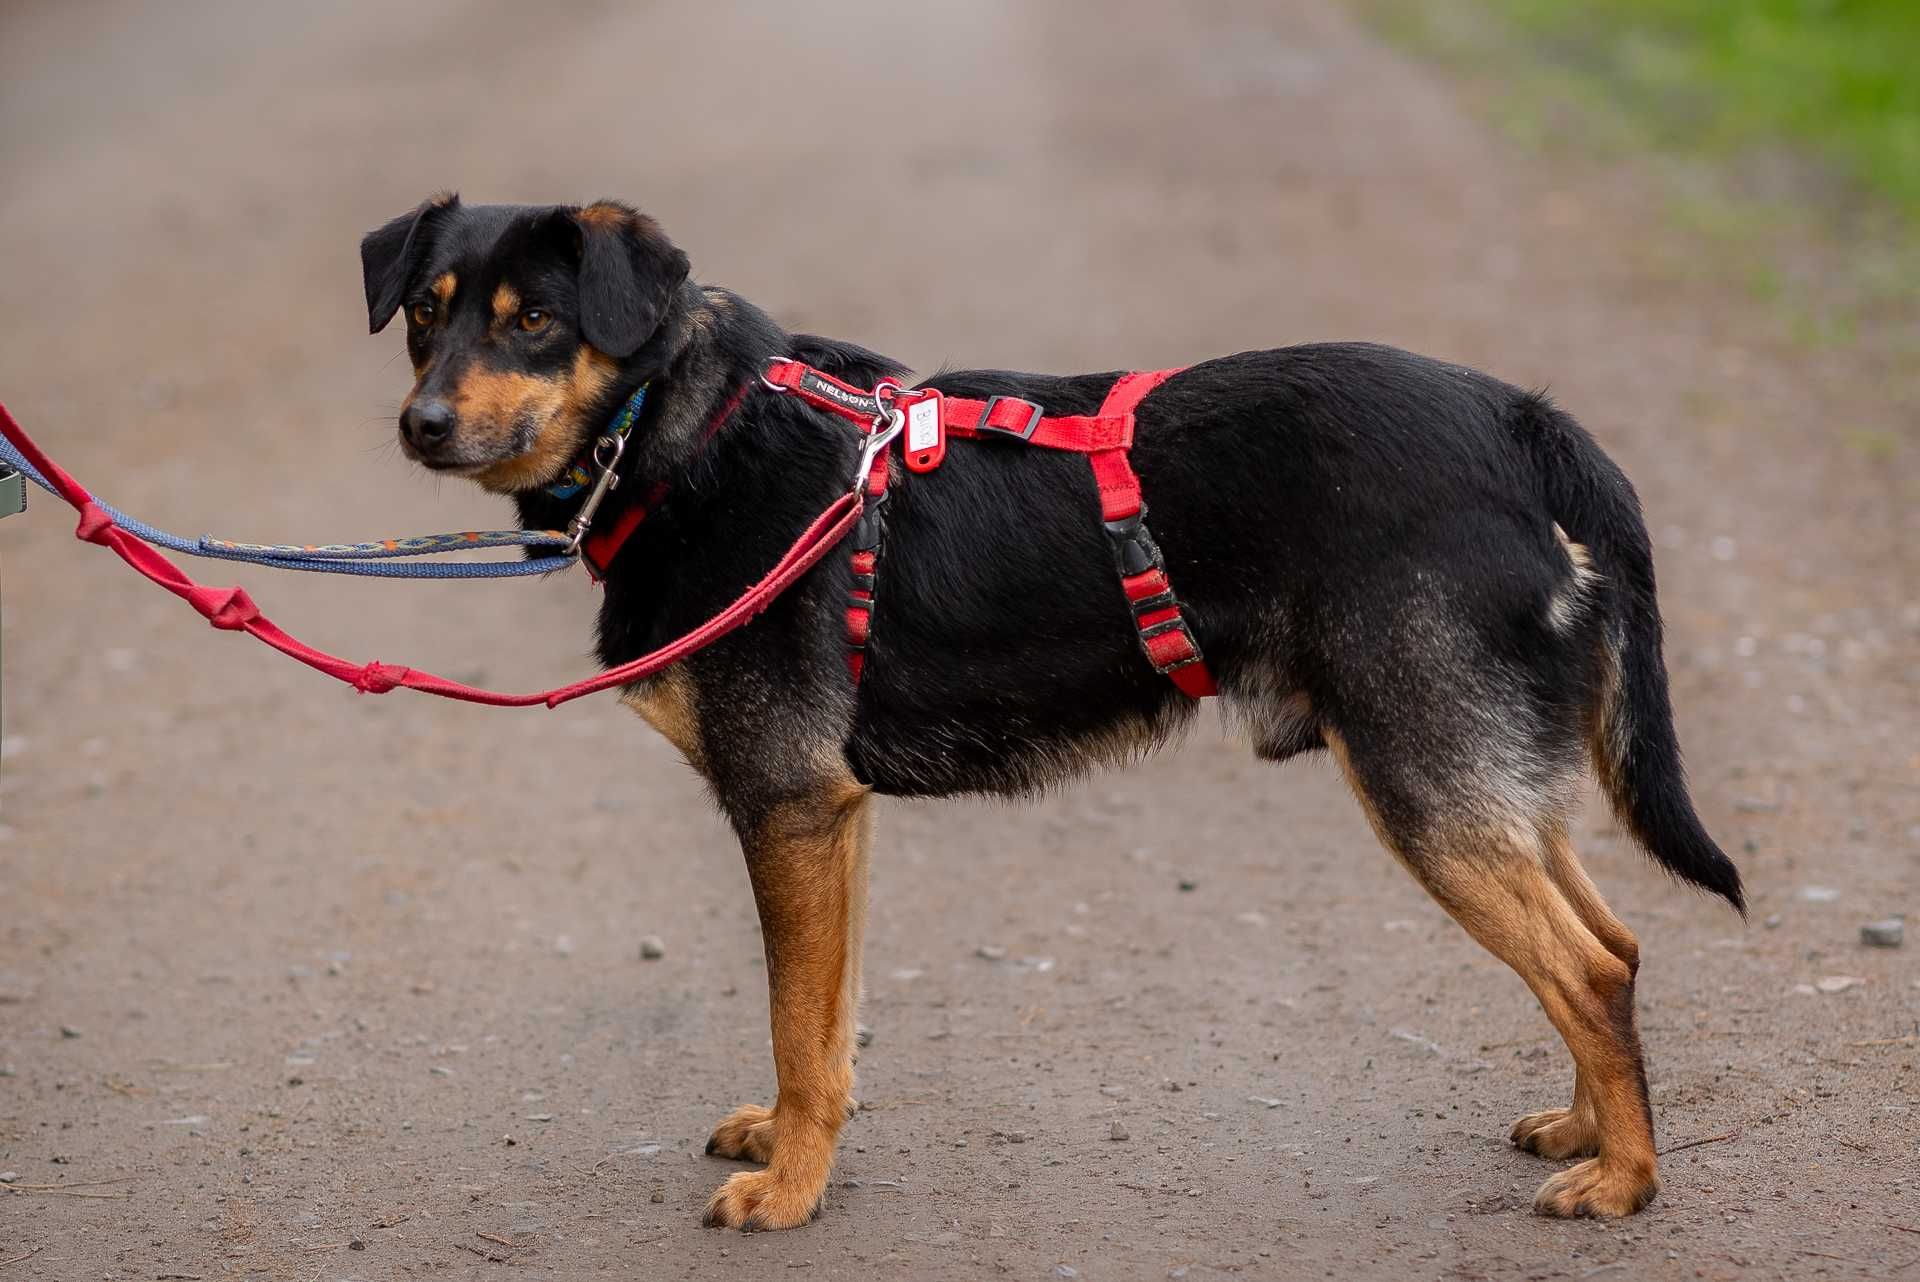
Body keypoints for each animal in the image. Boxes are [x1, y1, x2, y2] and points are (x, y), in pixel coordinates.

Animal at [357, 192, 1743, 1228]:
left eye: (535, 320)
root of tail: (1520, 423)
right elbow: (828, 1023)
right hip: (1486, 777)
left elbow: (799, 1024)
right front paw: (804, 1141)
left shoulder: (787, 807)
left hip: (1426, 781)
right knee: (1610, 946)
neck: (685, 431)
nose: (419, 425)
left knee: (1586, 966)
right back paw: (1587, 1125)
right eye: (424, 316)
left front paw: (794, 1189)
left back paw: (1625, 1180)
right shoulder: (834, 820)